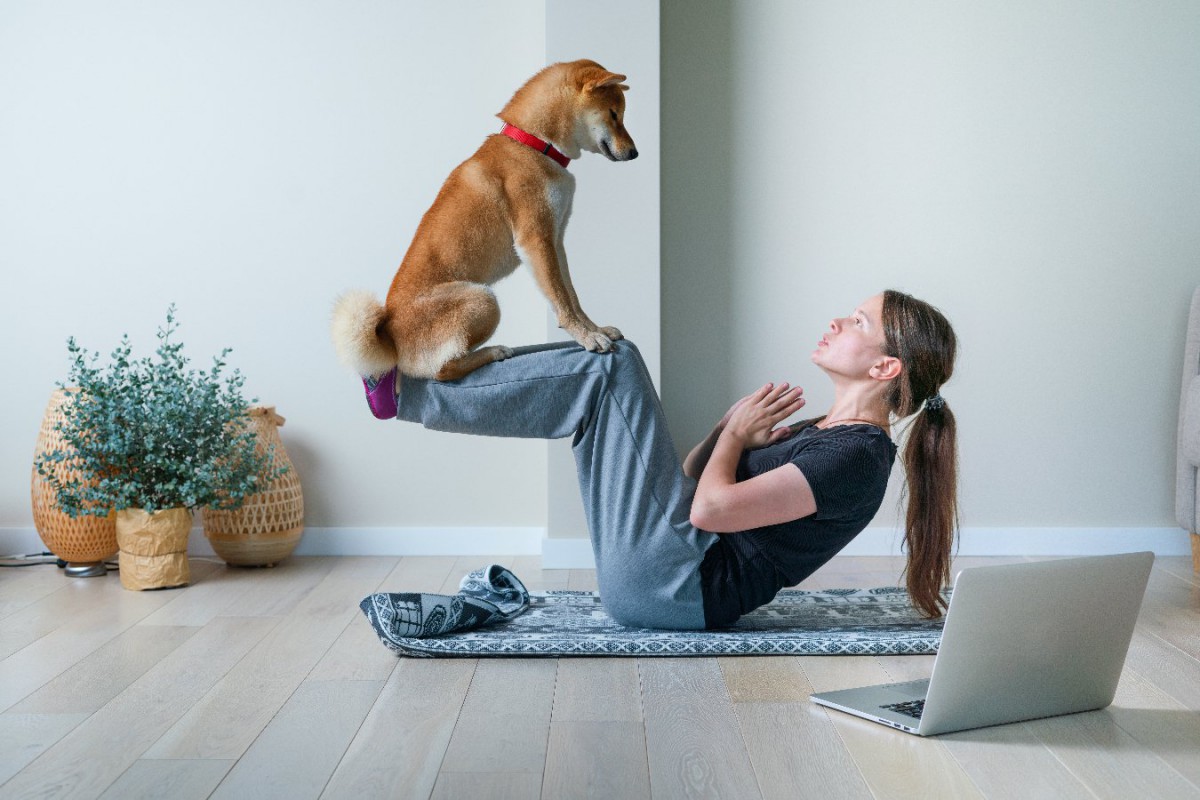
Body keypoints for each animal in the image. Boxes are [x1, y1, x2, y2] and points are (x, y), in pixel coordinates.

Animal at [333, 59, 638, 400]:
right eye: (614, 114)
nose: (634, 152)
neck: (535, 144)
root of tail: (388, 338)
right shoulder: (535, 241)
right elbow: (561, 301)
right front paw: (586, 338)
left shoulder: (555, 241)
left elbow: (572, 296)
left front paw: (594, 329)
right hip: (482, 299)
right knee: (441, 371)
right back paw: (492, 352)